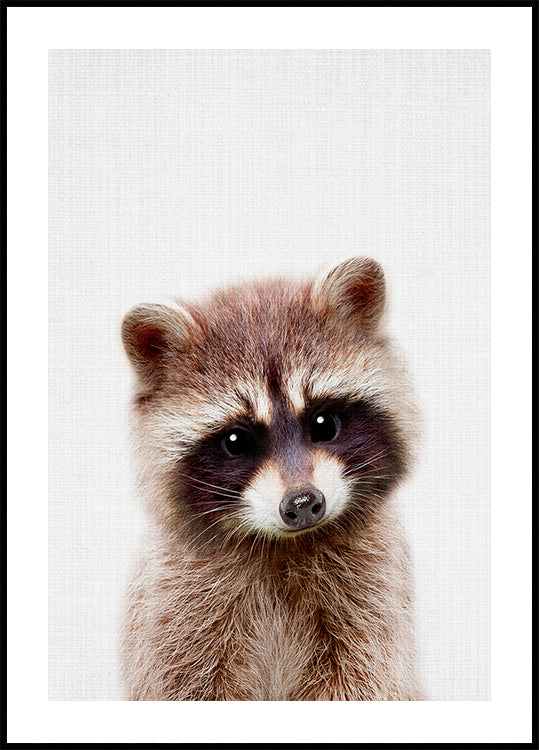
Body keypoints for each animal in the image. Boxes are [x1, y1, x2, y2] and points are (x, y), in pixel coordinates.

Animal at [120, 257, 422, 701]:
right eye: (236, 440)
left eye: (324, 423)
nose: (303, 503)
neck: (283, 545)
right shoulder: (175, 608)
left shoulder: (373, 597)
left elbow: (364, 677)